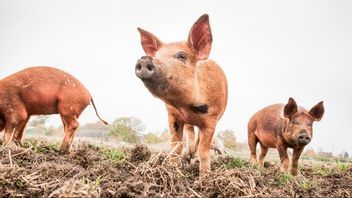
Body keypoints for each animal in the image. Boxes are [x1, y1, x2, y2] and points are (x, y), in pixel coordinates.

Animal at [135, 14, 228, 174]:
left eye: (182, 56)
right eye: (157, 55)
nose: (144, 59)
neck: (185, 106)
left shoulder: (212, 119)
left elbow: (204, 150)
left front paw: (205, 176)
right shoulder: (173, 115)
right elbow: (175, 146)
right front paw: (172, 168)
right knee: (190, 131)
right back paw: (189, 154)